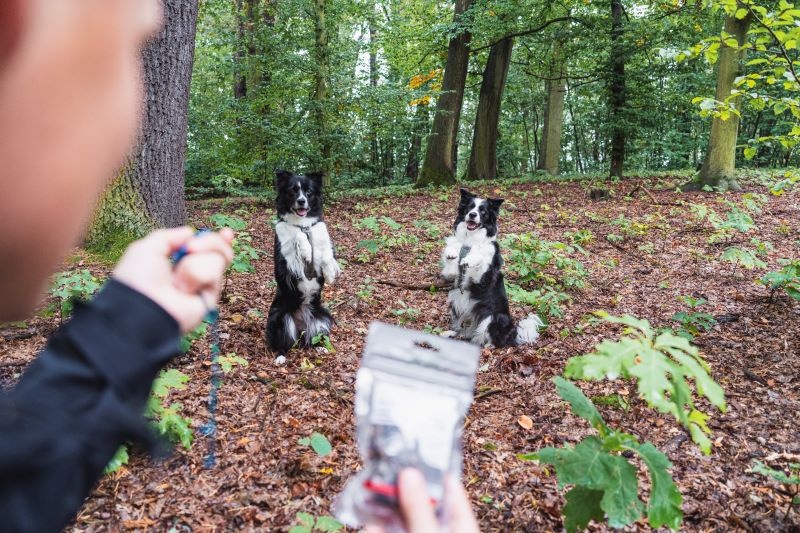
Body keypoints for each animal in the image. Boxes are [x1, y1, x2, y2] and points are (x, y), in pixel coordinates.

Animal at [266, 169, 340, 365]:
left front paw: (329, 273)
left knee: (312, 339)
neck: (303, 224)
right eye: (293, 191)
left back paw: (321, 347)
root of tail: (301, 326)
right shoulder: (285, 258)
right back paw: (280, 357)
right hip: (280, 320)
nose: (301, 201)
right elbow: (296, 235)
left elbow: (325, 251)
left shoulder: (321, 235)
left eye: (309, 192)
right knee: (283, 343)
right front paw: (306, 250)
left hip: (323, 317)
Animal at [440, 189, 543, 347]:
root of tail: (512, 334)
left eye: (483, 211)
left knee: (495, 340)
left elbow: (479, 258)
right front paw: (451, 253)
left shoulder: (482, 277)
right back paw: (452, 334)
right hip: (456, 307)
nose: (472, 215)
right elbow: (452, 257)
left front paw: (471, 258)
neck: (471, 239)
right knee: (466, 332)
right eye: (470, 207)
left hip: (495, 317)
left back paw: (488, 345)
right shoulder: (451, 274)